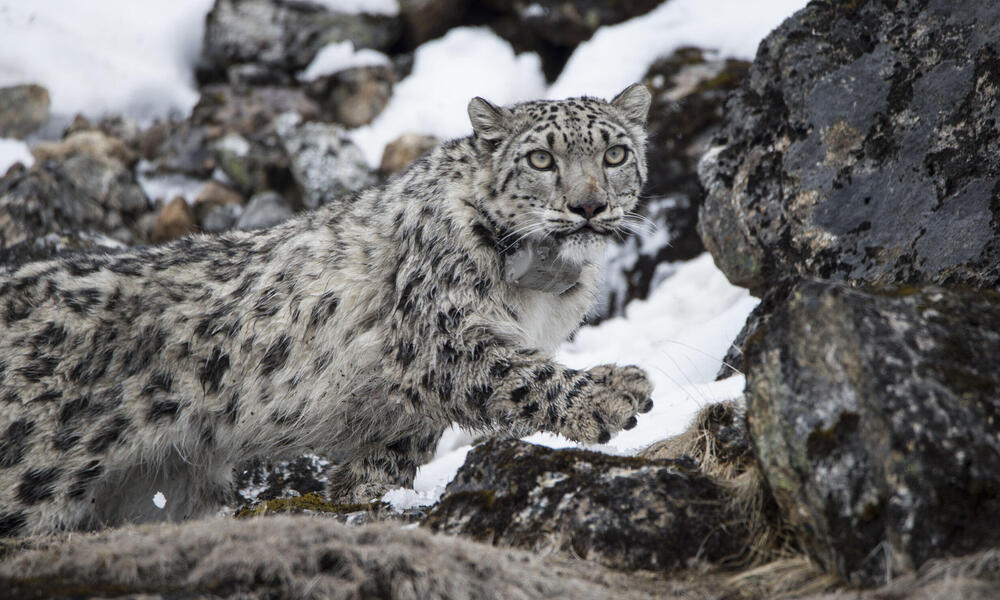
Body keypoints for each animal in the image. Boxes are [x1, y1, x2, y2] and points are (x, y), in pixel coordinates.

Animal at [0, 83, 656, 536]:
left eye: (616, 154)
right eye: (541, 159)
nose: (589, 206)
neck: (544, 290)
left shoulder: (404, 418)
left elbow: (383, 465)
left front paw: (361, 499)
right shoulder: (441, 337)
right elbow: (517, 375)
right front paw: (613, 395)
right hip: (30, 474)